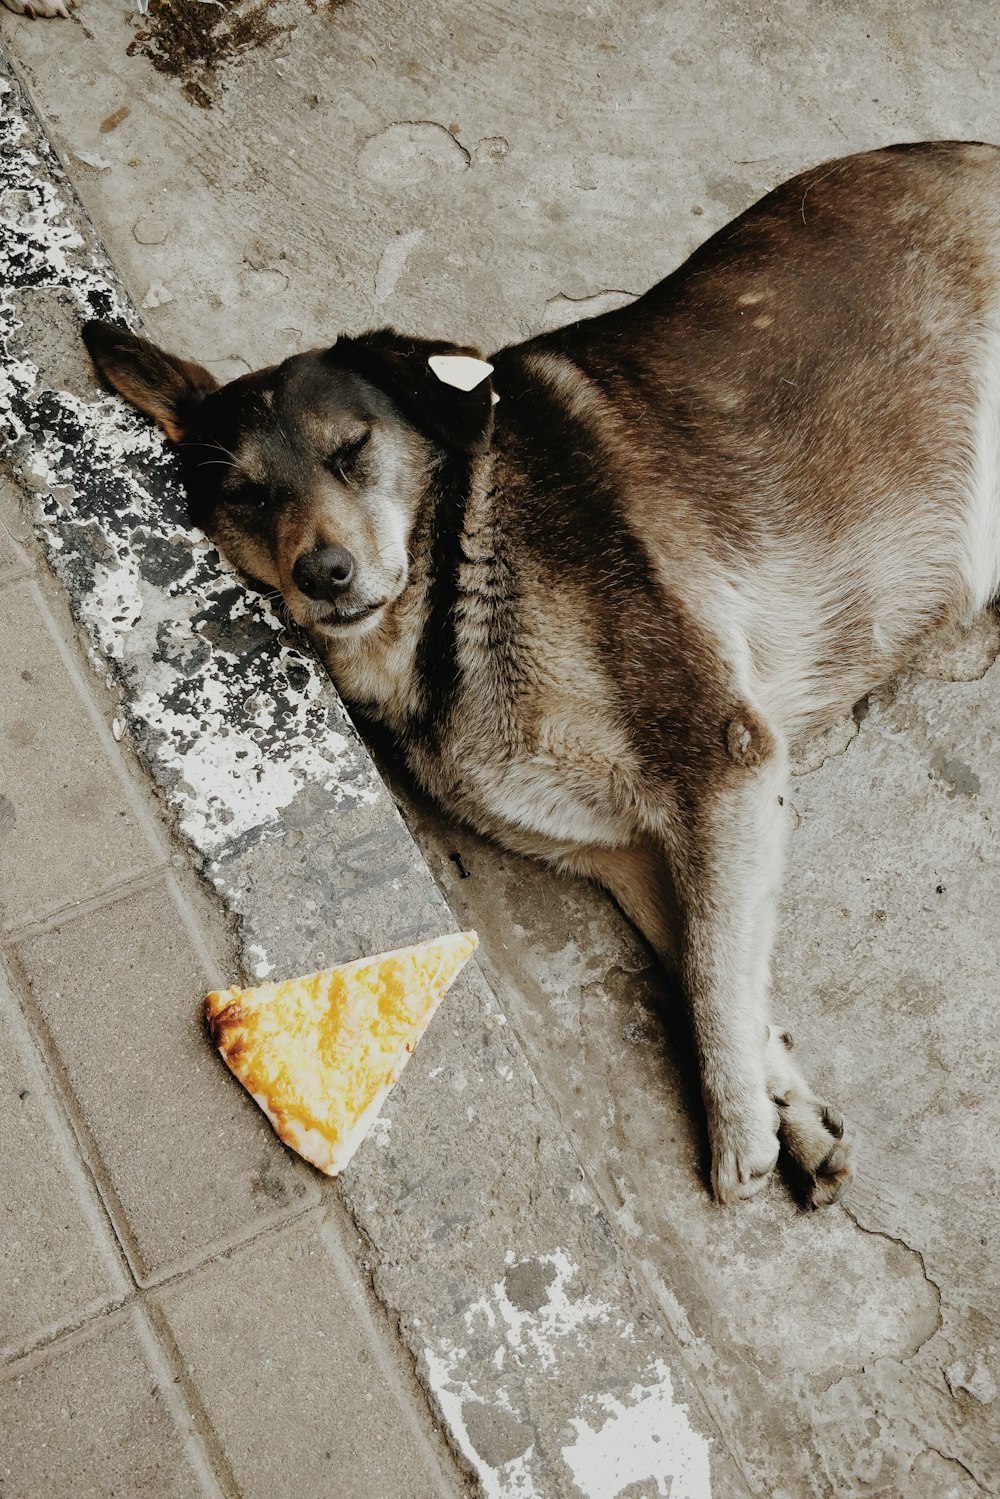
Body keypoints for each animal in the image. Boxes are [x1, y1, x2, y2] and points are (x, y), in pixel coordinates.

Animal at [82, 143, 1000, 1205]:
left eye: (353, 452)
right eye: (246, 494)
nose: (324, 576)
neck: (455, 577)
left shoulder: (724, 762)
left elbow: (714, 972)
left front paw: (736, 1132)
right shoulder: (636, 848)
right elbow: (715, 966)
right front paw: (787, 1108)